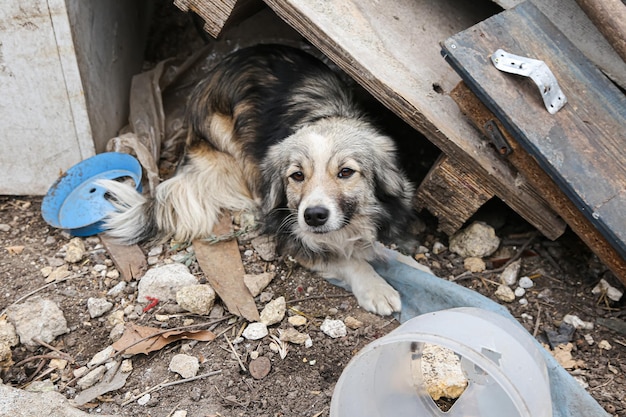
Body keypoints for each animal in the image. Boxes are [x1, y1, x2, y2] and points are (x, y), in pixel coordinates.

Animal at [100, 44, 416, 314]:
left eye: (346, 172)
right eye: (297, 175)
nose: (314, 216)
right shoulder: (291, 232)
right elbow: (346, 259)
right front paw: (376, 288)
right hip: (228, 140)